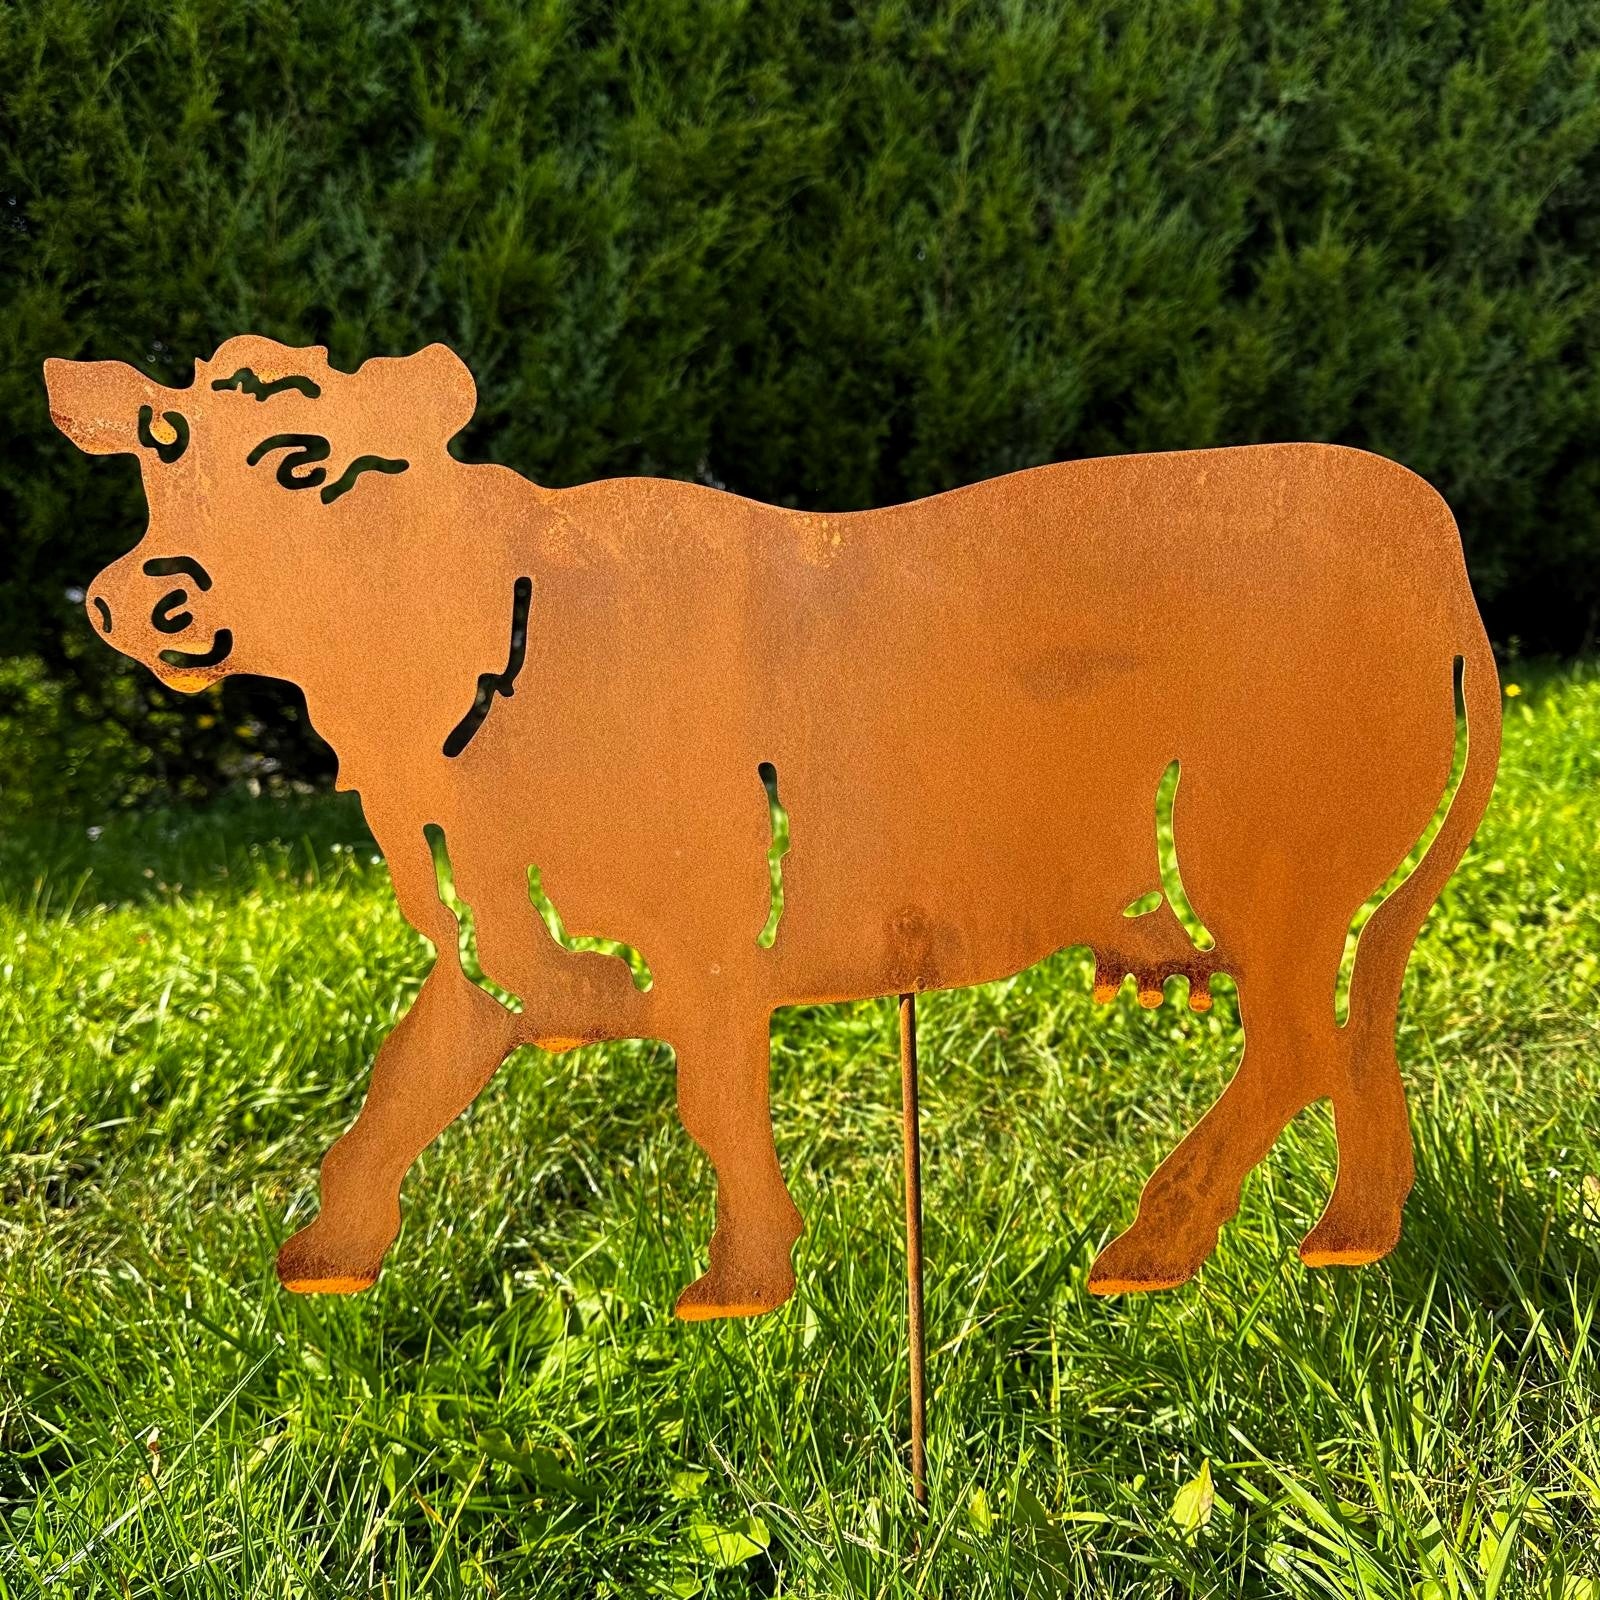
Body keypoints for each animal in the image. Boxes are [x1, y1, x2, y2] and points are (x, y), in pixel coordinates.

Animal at [44, 336, 1499, 1319]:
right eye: (156, 451)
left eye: (309, 466)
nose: (143, 596)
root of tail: (1430, 535)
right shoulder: (483, 948)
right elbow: (396, 1094)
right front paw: (321, 1263)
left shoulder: (705, 930)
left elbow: (712, 1098)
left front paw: (739, 1283)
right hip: (1311, 887)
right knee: (1352, 1044)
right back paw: (1344, 1239)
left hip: (1263, 855)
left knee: (1298, 1048)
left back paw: (1152, 1249)